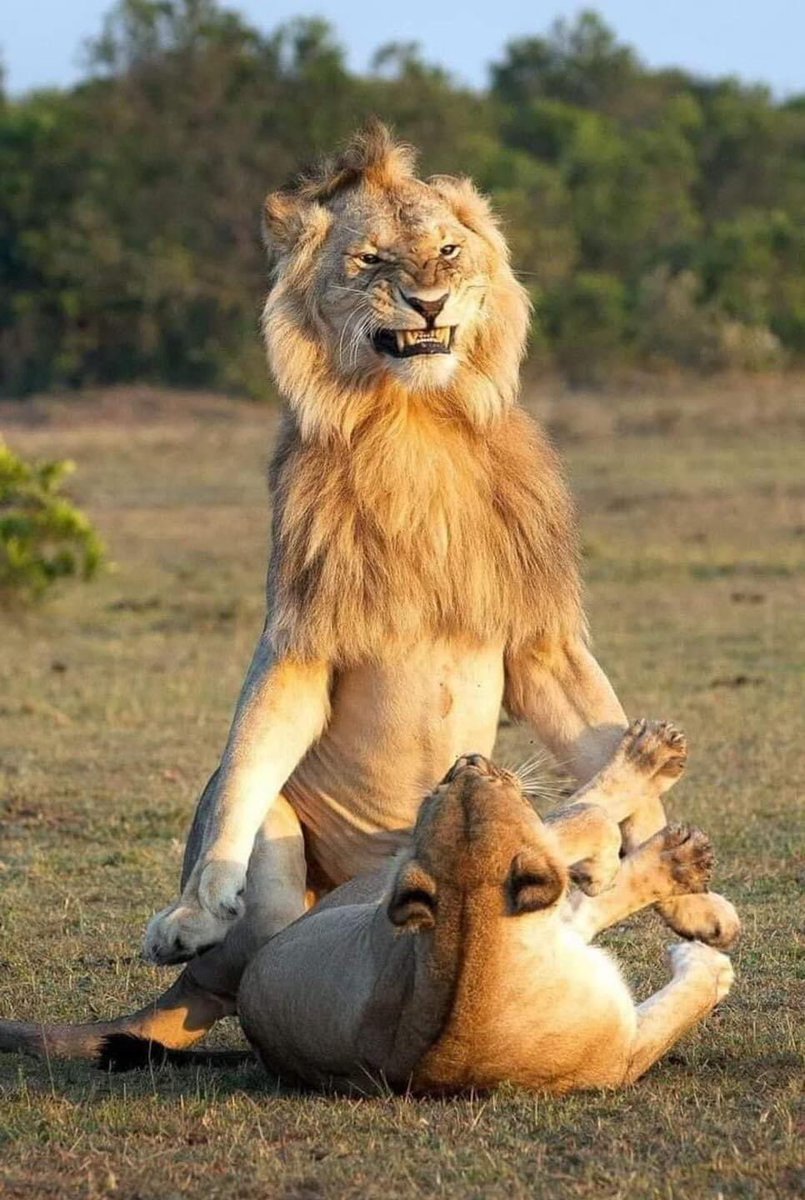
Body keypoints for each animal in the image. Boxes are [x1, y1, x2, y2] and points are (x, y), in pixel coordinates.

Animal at [0, 721, 735, 1093]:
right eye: (486, 781)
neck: (470, 934)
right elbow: (681, 996)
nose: (470, 759)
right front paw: (703, 957)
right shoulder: (620, 1053)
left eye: (448, 784)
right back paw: (655, 787)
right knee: (580, 819)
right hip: (352, 884)